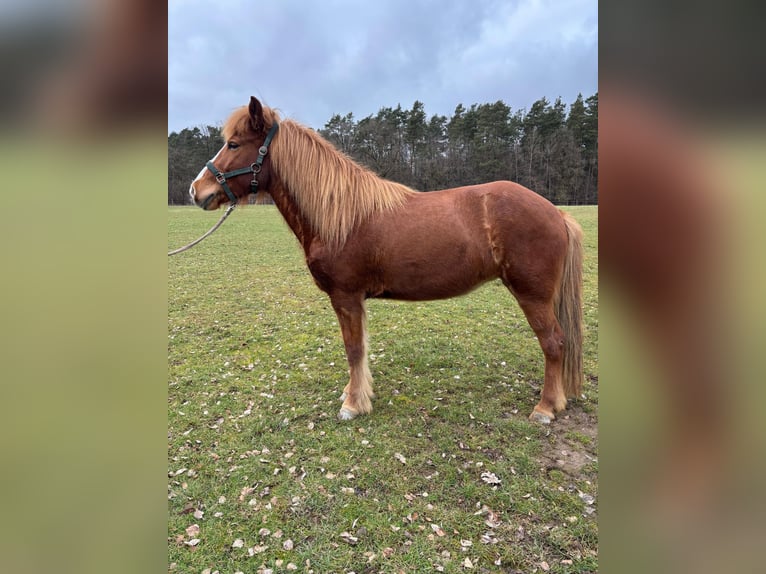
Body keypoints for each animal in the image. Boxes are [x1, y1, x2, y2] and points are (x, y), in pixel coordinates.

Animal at [189, 96, 584, 424]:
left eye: (234, 144)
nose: (196, 190)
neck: (340, 215)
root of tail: (556, 212)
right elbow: (360, 349)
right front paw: (357, 394)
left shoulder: (346, 297)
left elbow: (353, 349)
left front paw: (352, 405)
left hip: (532, 295)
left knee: (554, 343)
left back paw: (545, 409)